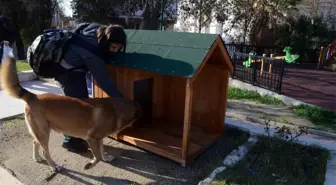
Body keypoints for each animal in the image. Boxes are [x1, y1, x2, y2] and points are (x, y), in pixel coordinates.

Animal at [0, 51, 142, 171]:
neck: (116, 109)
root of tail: (33, 96)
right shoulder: (92, 139)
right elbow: (97, 157)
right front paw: (90, 165)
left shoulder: (99, 138)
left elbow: (102, 150)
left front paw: (106, 157)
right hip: (44, 132)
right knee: (45, 151)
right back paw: (53, 166)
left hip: (40, 132)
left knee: (35, 142)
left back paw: (37, 157)